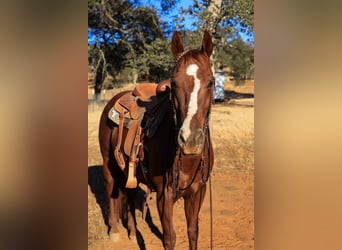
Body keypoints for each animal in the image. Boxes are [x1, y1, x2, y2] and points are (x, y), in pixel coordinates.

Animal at [98, 30, 214, 249]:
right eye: (174, 83)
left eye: (211, 82)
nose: (190, 140)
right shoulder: (164, 195)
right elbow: (169, 238)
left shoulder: (197, 192)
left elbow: (193, 232)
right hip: (108, 162)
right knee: (109, 188)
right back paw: (115, 231)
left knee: (129, 194)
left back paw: (132, 232)